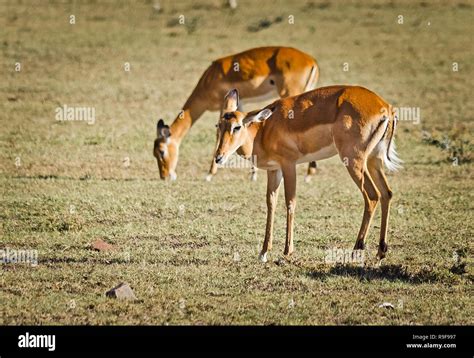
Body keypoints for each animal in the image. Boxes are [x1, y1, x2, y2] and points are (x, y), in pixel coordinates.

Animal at [154, 46, 320, 182]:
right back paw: (309, 174)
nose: (164, 176)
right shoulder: (238, 104)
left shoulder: (223, 106)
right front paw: (253, 175)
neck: (210, 78)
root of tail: (311, 61)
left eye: (161, 151)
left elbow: (218, 135)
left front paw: (209, 174)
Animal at [214, 85, 400, 262]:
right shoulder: (274, 170)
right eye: (219, 125)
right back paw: (380, 252)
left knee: (372, 195)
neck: (263, 130)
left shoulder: (289, 165)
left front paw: (287, 251)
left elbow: (290, 202)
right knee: (386, 193)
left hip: (354, 161)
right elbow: (271, 204)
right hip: (373, 160)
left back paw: (356, 250)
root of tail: (385, 107)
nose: (218, 157)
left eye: (237, 127)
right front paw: (264, 252)